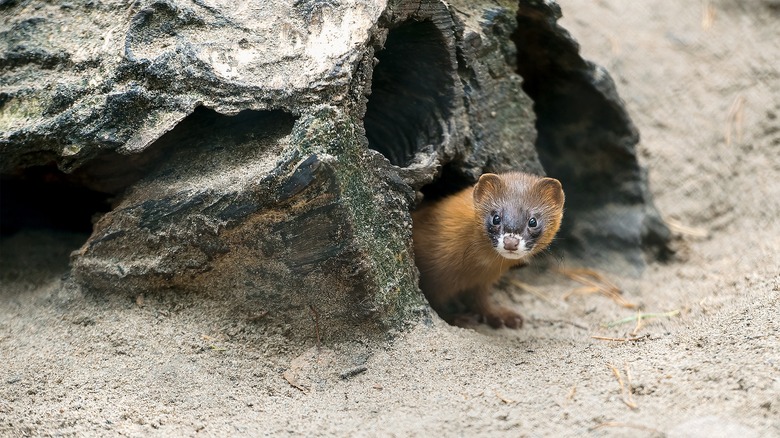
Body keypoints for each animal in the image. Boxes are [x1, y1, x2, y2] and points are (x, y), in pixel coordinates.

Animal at [412, 171, 564, 328]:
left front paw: (501, 316)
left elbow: (480, 301)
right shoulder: (433, 280)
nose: (510, 242)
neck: (472, 272)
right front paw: (458, 318)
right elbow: (436, 306)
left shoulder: (481, 283)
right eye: (496, 217)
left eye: (533, 221)